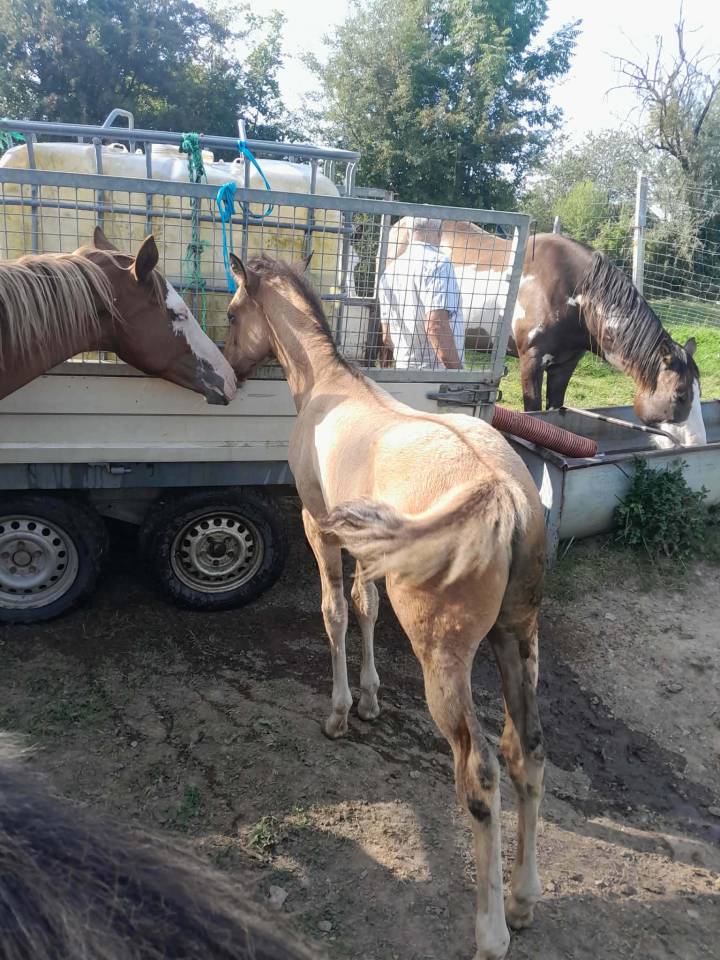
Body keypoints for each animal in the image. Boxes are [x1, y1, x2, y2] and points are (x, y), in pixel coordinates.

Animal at [223, 253, 547, 960]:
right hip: (518, 639)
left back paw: (491, 930)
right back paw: (523, 898)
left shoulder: (320, 527)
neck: (330, 389)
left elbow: (335, 612)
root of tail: (503, 491)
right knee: (528, 750)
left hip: (444, 663)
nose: (224, 376)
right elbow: (366, 607)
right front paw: (371, 698)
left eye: (232, 313)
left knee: (481, 773)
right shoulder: (368, 550)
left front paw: (342, 711)